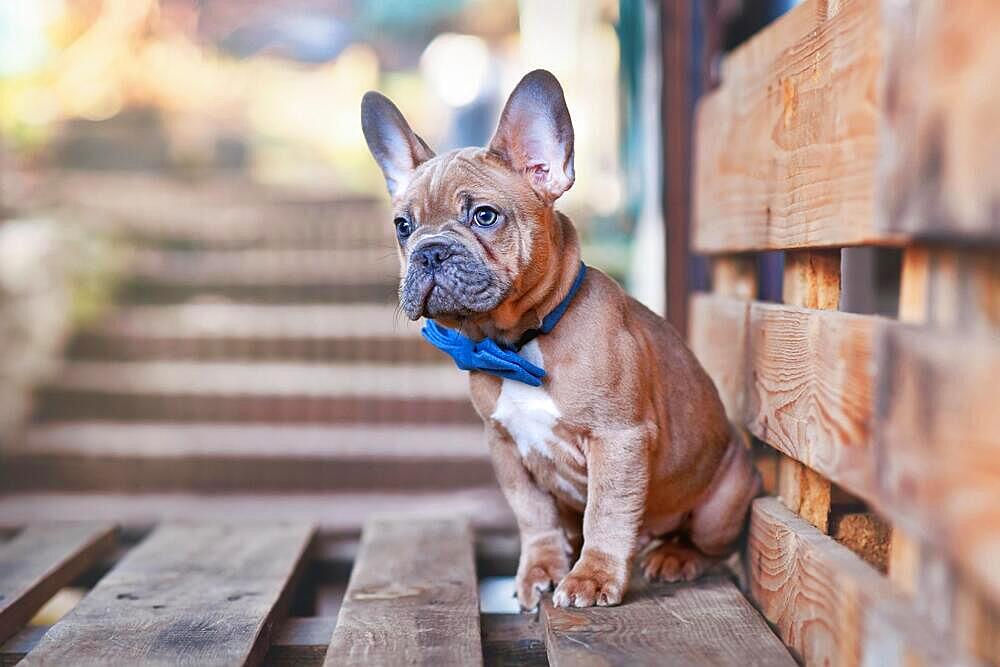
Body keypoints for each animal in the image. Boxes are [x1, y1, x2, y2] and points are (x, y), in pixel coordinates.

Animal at [364, 70, 760, 608]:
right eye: (403, 227)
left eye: (484, 216)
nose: (430, 252)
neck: (516, 342)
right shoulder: (506, 447)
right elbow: (534, 515)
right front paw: (541, 568)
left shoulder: (618, 439)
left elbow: (606, 513)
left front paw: (591, 577)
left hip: (722, 502)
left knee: (708, 544)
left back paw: (675, 556)